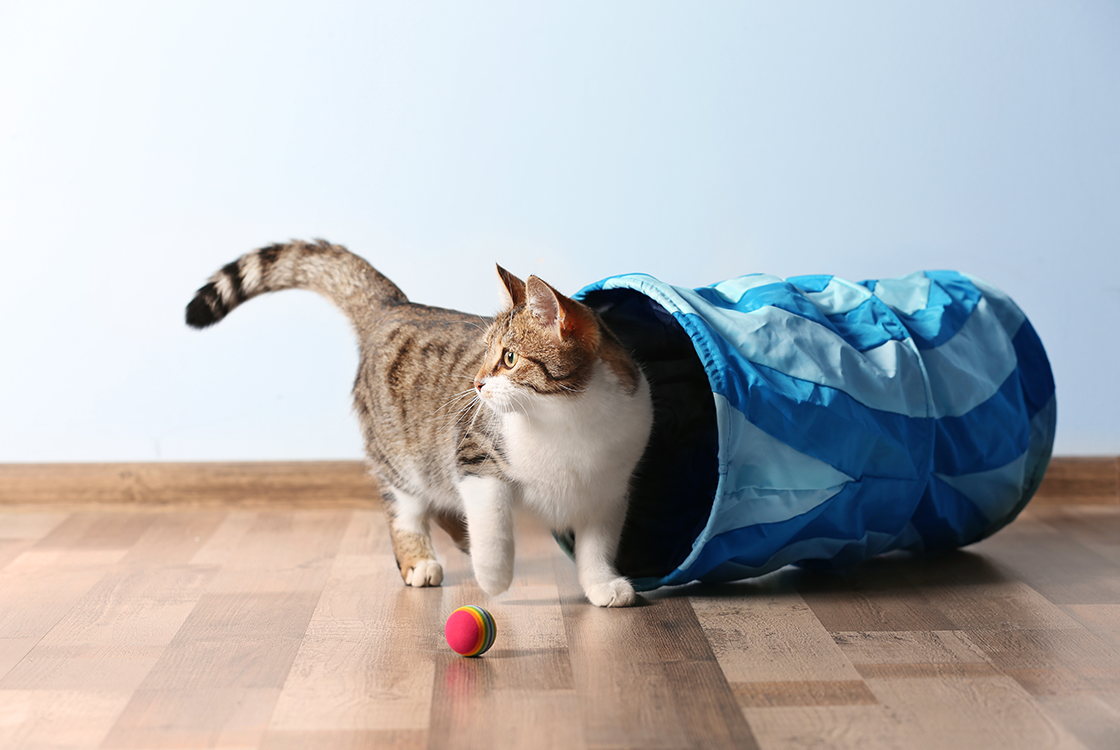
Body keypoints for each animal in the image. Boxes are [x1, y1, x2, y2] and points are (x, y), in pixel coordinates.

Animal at [185, 244, 654, 608]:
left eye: (509, 358)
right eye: (486, 354)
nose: (477, 383)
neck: (568, 418)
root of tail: (394, 306)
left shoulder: (609, 489)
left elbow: (596, 545)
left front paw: (603, 585)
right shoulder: (474, 456)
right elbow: (493, 526)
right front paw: (493, 576)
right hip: (399, 457)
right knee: (406, 509)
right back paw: (420, 560)